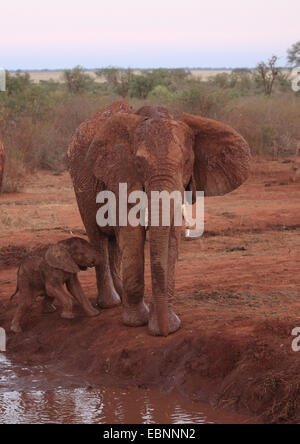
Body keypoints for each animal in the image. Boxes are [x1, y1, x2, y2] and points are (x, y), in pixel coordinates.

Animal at [68, 101, 251, 336]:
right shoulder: (122, 175)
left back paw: (120, 295)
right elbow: (131, 233)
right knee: (98, 236)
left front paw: (166, 325)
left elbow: (170, 234)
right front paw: (137, 321)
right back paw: (111, 303)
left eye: (187, 162)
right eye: (138, 162)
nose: (164, 332)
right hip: (81, 188)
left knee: (114, 242)